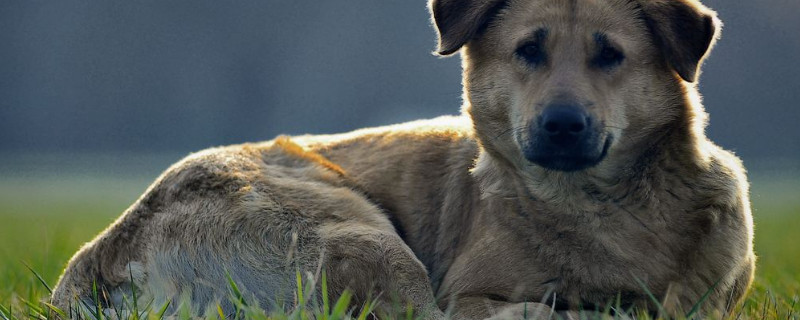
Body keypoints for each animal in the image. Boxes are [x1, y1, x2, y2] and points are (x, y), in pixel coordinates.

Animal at [51, 0, 756, 318]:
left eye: (611, 55)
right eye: (527, 50)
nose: (560, 125)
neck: (604, 209)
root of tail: (97, 262)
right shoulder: (467, 294)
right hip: (360, 234)